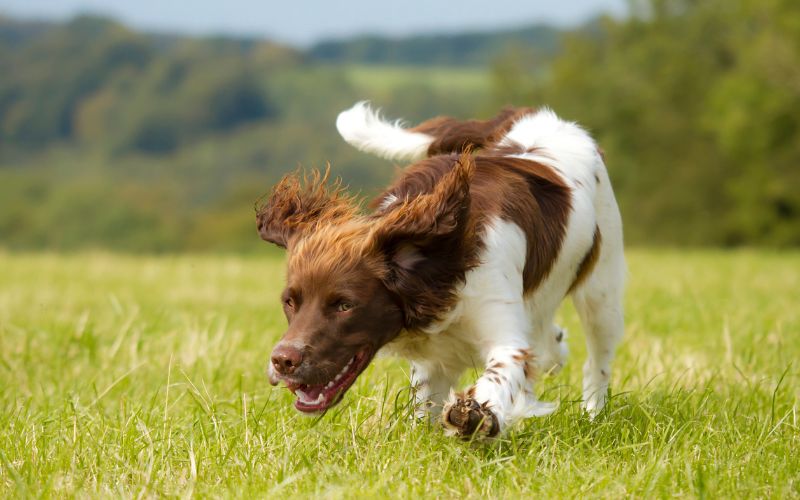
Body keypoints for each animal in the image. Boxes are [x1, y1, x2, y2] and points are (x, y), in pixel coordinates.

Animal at [256, 102, 624, 438]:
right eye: (290, 302)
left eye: (345, 305)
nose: (282, 361)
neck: (440, 269)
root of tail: (531, 113)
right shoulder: (435, 360)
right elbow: (425, 407)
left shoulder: (504, 333)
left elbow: (500, 373)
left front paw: (476, 415)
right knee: (549, 343)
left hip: (602, 293)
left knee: (596, 362)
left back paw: (593, 416)